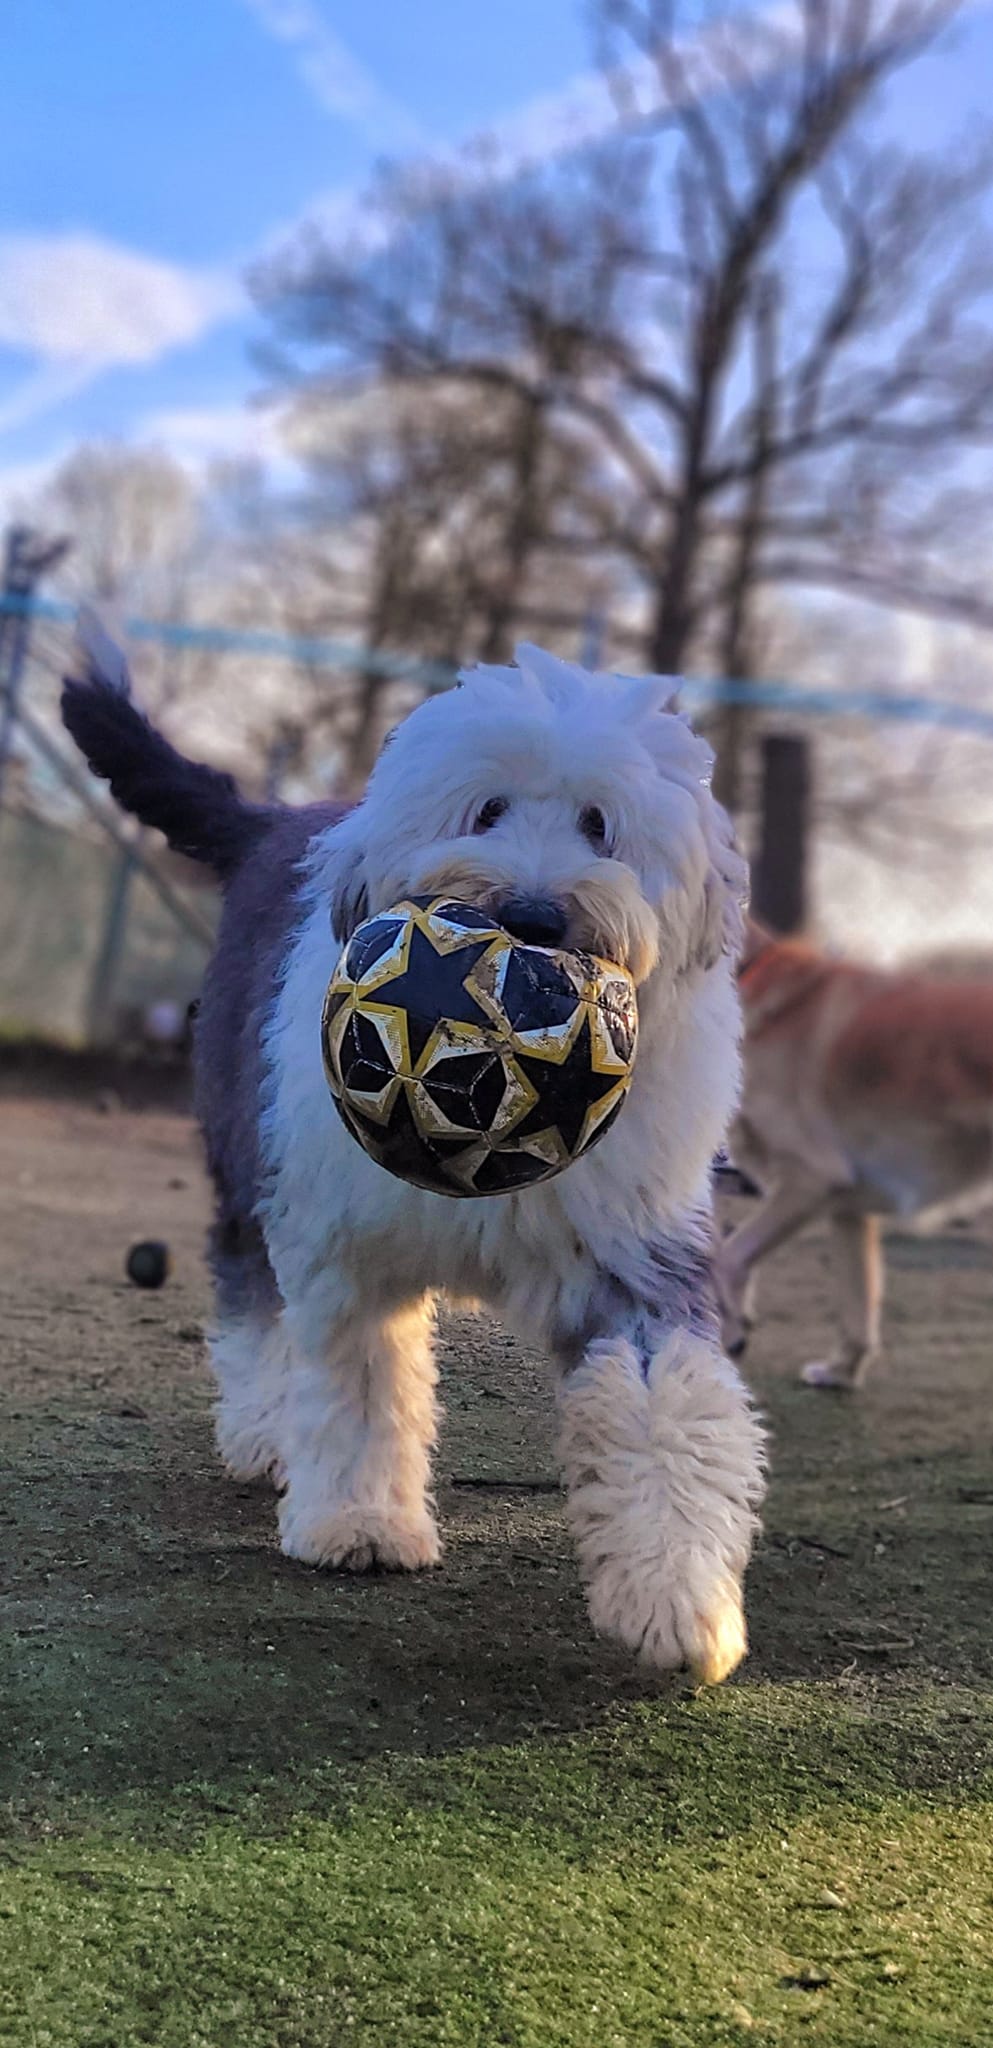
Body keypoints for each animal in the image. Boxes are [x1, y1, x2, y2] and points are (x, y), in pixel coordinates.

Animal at [62, 622, 764, 1682]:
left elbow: (664, 1411)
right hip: (246, 1135)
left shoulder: (634, 1253)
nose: (534, 914)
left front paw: (678, 1600)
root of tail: (277, 821)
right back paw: (264, 1431)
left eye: (600, 825)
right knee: (248, 1291)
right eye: (487, 808)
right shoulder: (343, 1239)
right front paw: (358, 1523)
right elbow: (358, 1381)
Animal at [715, 919, 993, 1389]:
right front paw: (841, 1372)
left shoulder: (809, 1179)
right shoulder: (846, 1205)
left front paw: (733, 1327)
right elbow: (857, 1304)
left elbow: (727, 1256)